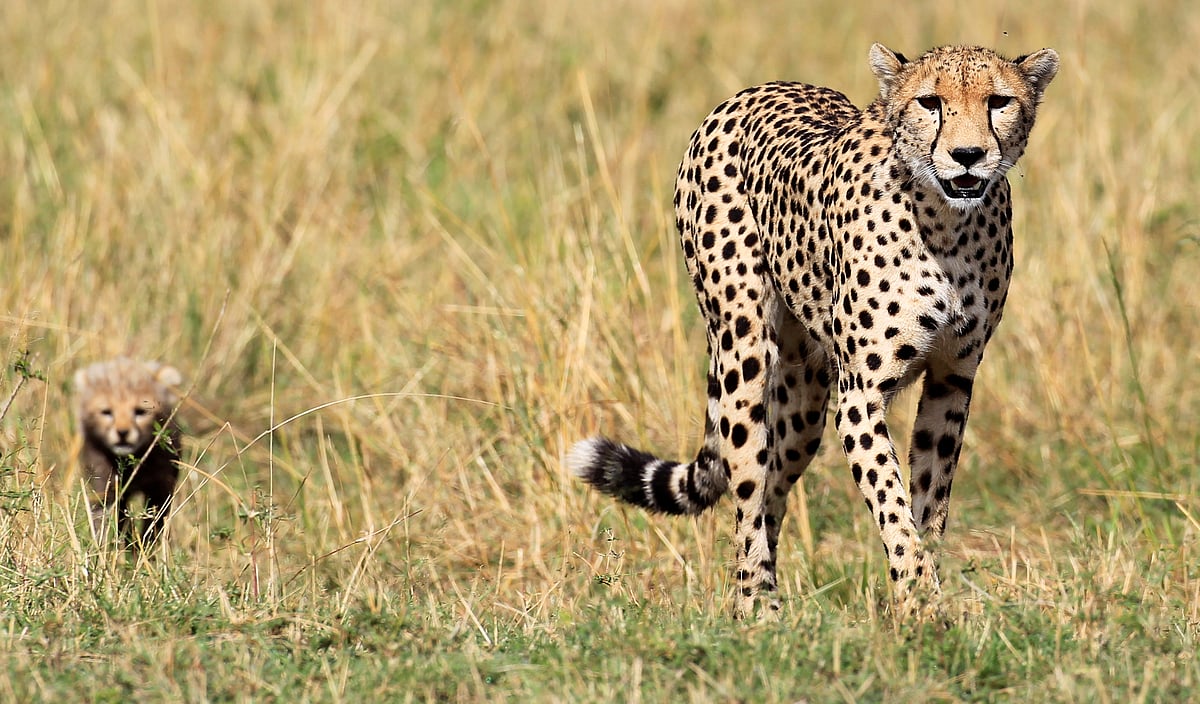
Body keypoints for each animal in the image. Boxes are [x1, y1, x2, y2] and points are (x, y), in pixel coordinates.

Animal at [74, 357, 185, 546]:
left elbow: (153, 523)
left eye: (140, 411)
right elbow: (103, 519)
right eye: (106, 412)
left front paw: (146, 548)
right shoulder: (106, 486)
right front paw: (102, 548)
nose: (123, 432)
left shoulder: (161, 488)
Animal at [567, 44, 1058, 619]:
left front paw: (929, 600)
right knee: (747, 489)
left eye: (998, 102)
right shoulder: (861, 394)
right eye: (930, 102)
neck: (946, 223)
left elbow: (928, 505)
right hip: (743, 353)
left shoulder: (952, 379)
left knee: (774, 485)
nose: (967, 155)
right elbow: (893, 506)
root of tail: (753, 90)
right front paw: (919, 603)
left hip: (805, 400)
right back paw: (757, 610)